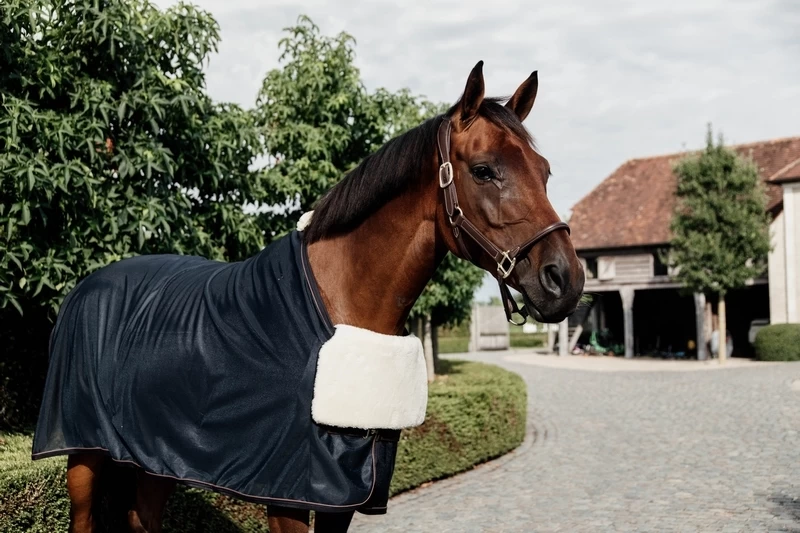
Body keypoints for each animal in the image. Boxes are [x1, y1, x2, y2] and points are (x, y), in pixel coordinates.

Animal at [31, 61, 585, 533]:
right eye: (484, 170)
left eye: (545, 171)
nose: (564, 279)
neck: (340, 308)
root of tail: (87, 286)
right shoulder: (292, 495)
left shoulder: (346, 493)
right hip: (83, 456)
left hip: (157, 459)